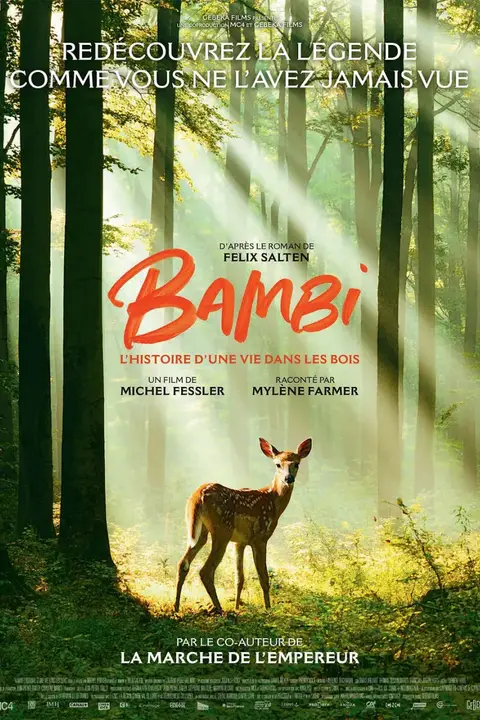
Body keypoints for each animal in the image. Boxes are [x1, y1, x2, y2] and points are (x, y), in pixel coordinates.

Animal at [174, 437, 312, 614]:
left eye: (297, 464)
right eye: (277, 464)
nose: (289, 479)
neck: (273, 502)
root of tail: (197, 496)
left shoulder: (239, 542)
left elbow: (239, 579)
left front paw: (237, 607)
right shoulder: (260, 537)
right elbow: (263, 577)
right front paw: (268, 609)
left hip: (198, 530)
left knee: (183, 563)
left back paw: (176, 607)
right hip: (222, 530)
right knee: (206, 571)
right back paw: (220, 609)